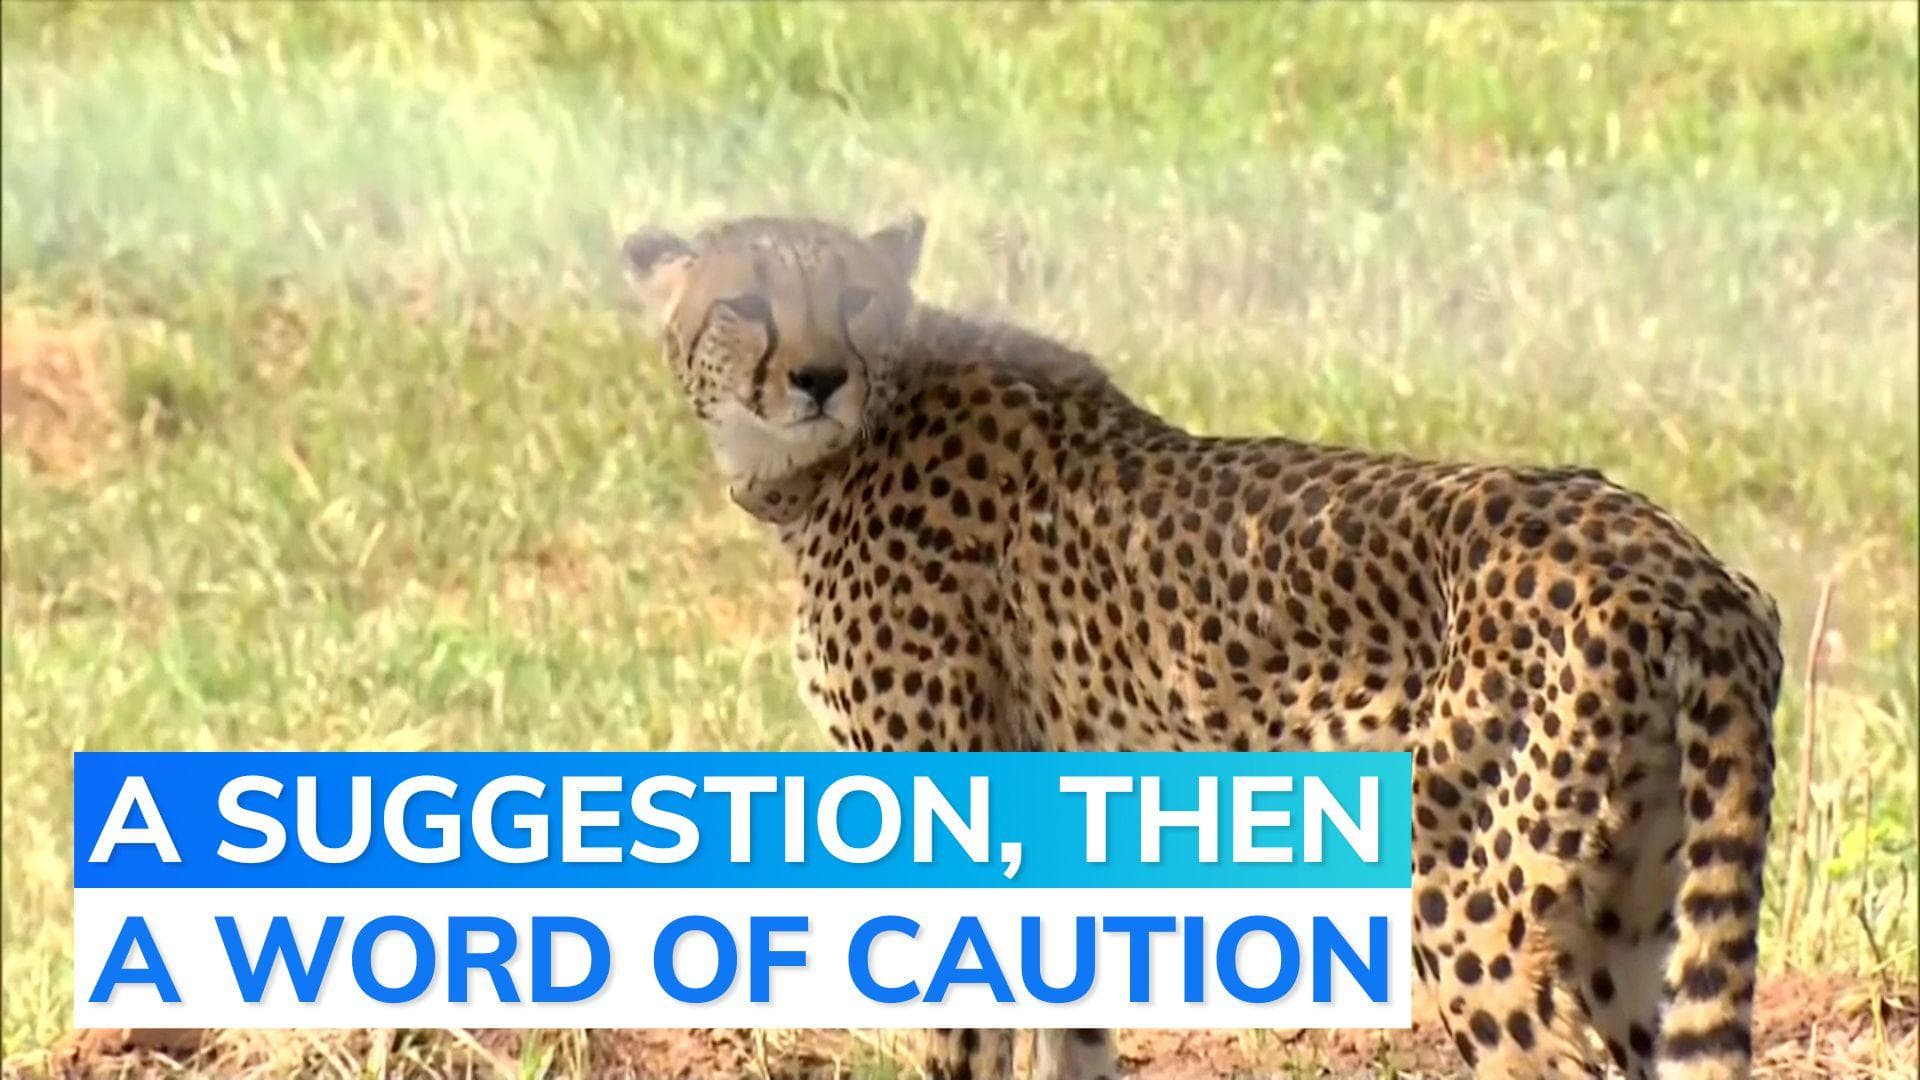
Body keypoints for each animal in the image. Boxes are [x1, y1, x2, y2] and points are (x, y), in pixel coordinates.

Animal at [619, 212, 1782, 1080]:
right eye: (746, 303)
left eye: (853, 298)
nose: (818, 377)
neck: (849, 444)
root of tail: (1678, 561)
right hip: (1637, 917)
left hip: (1467, 902)